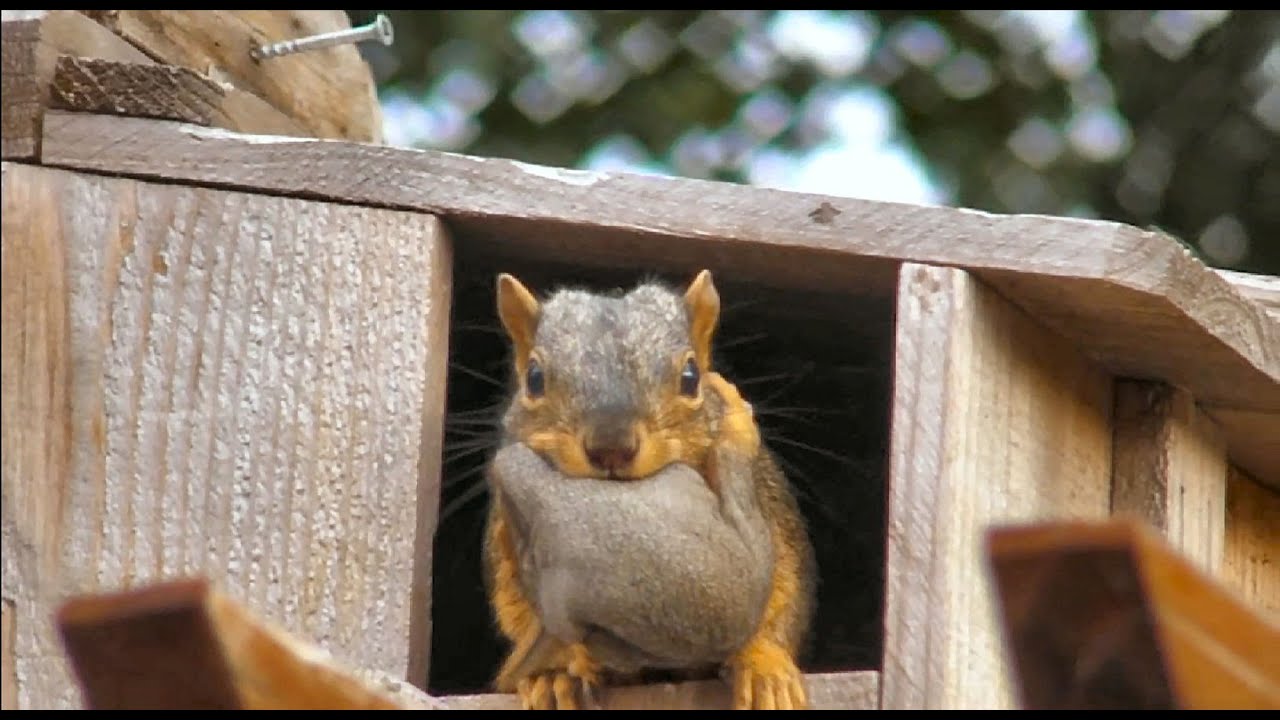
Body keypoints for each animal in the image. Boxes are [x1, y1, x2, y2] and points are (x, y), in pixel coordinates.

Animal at [482, 269, 817, 710]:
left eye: (691, 377)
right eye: (534, 379)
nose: (611, 446)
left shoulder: (772, 516)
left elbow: (783, 594)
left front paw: (765, 666)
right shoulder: (507, 540)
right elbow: (519, 611)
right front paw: (555, 674)